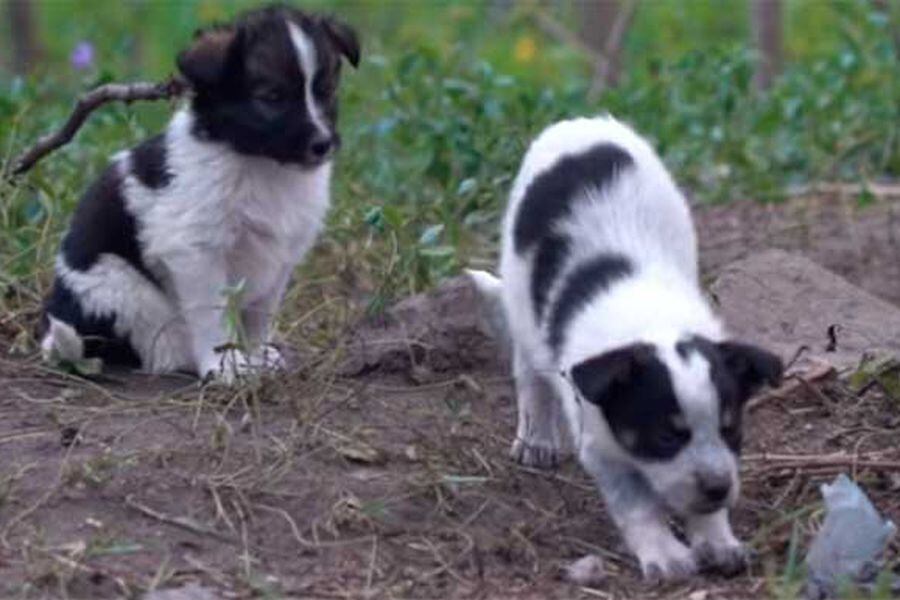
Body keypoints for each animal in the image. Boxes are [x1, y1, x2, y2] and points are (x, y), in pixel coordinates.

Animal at [38, 4, 360, 382]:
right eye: (272, 98)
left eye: (326, 91)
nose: (323, 145)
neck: (258, 162)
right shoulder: (195, 251)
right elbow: (212, 315)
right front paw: (226, 365)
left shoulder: (280, 255)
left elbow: (258, 315)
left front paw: (256, 358)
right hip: (117, 288)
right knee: (159, 348)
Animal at [472, 116, 780, 580]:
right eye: (665, 436)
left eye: (731, 429)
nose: (719, 488)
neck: (653, 321)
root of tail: (579, 123)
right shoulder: (602, 449)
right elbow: (637, 505)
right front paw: (666, 555)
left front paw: (716, 539)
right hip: (520, 293)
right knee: (529, 372)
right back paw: (536, 439)